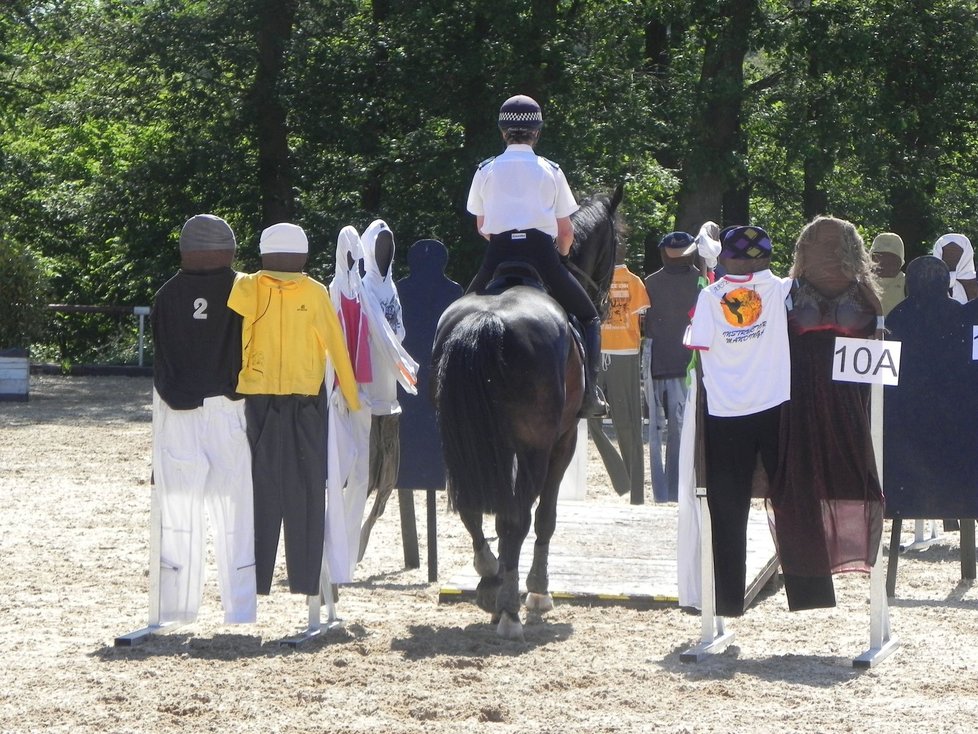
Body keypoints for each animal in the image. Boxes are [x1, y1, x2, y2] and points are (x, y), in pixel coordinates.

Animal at [432, 184, 620, 640]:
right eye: (614, 243)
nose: (606, 301)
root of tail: (487, 320)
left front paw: (501, 580)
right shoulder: (563, 441)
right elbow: (544, 516)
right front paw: (536, 590)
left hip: (460, 442)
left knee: (473, 509)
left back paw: (490, 578)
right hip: (536, 446)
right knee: (517, 516)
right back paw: (510, 612)